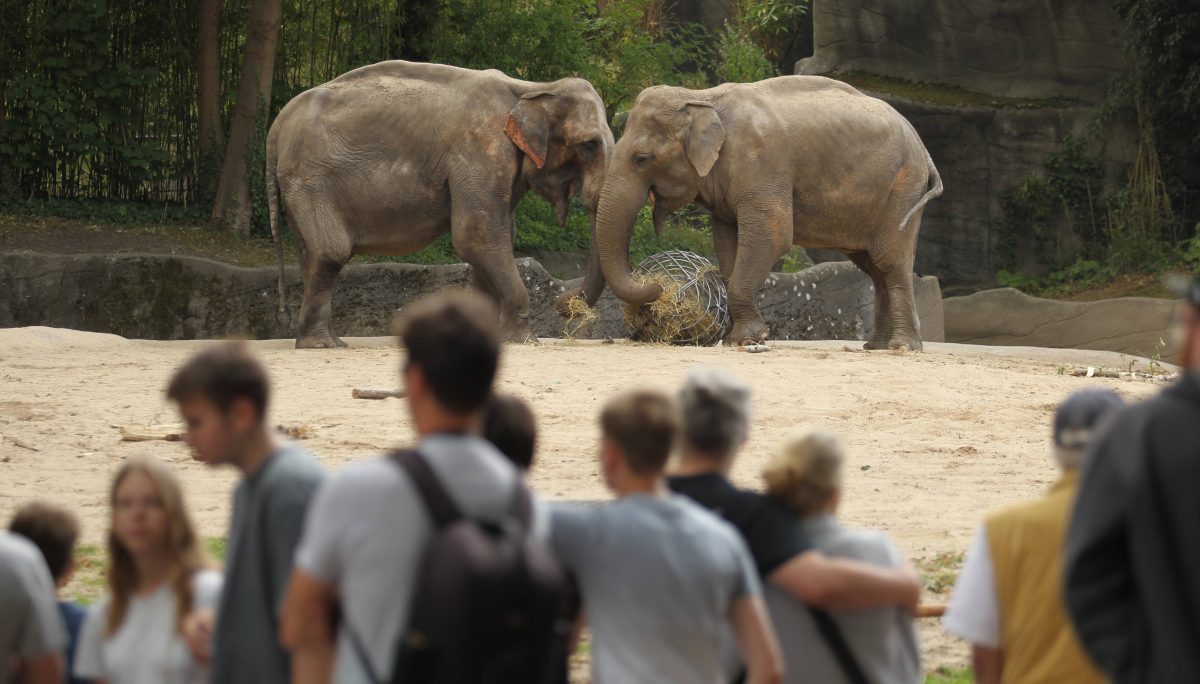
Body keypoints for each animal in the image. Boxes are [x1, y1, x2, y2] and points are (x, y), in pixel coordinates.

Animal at [267, 60, 614, 345]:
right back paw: (324, 344)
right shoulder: (479, 149)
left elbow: (492, 240)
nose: (563, 305)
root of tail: (277, 126)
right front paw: (524, 340)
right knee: (331, 250)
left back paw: (320, 341)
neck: (532, 88)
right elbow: (477, 235)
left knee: (311, 253)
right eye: (589, 145)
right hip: (310, 177)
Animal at [595, 77, 940, 348]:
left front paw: (747, 339)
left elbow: (771, 235)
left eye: (642, 158)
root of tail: (925, 151)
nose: (658, 288)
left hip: (902, 190)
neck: (701, 97)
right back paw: (876, 346)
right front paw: (735, 339)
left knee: (890, 262)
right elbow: (727, 242)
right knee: (874, 267)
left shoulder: (761, 164)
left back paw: (901, 347)